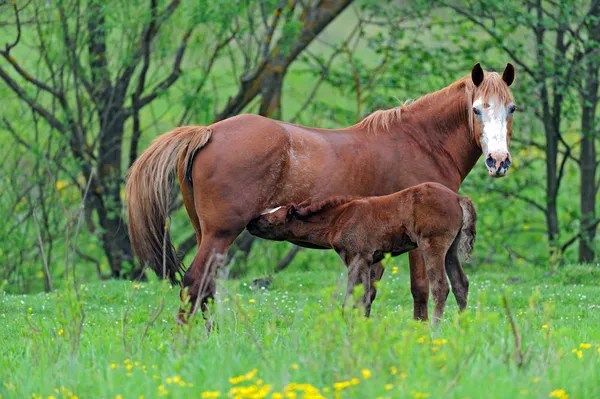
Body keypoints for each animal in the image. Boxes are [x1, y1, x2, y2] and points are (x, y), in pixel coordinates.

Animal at [246, 183, 476, 326]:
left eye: (269, 219)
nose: (249, 223)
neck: (338, 218)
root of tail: (458, 197)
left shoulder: (356, 258)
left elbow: (351, 298)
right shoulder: (371, 261)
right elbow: (365, 298)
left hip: (432, 246)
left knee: (441, 287)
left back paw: (435, 330)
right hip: (451, 250)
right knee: (460, 284)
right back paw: (461, 326)